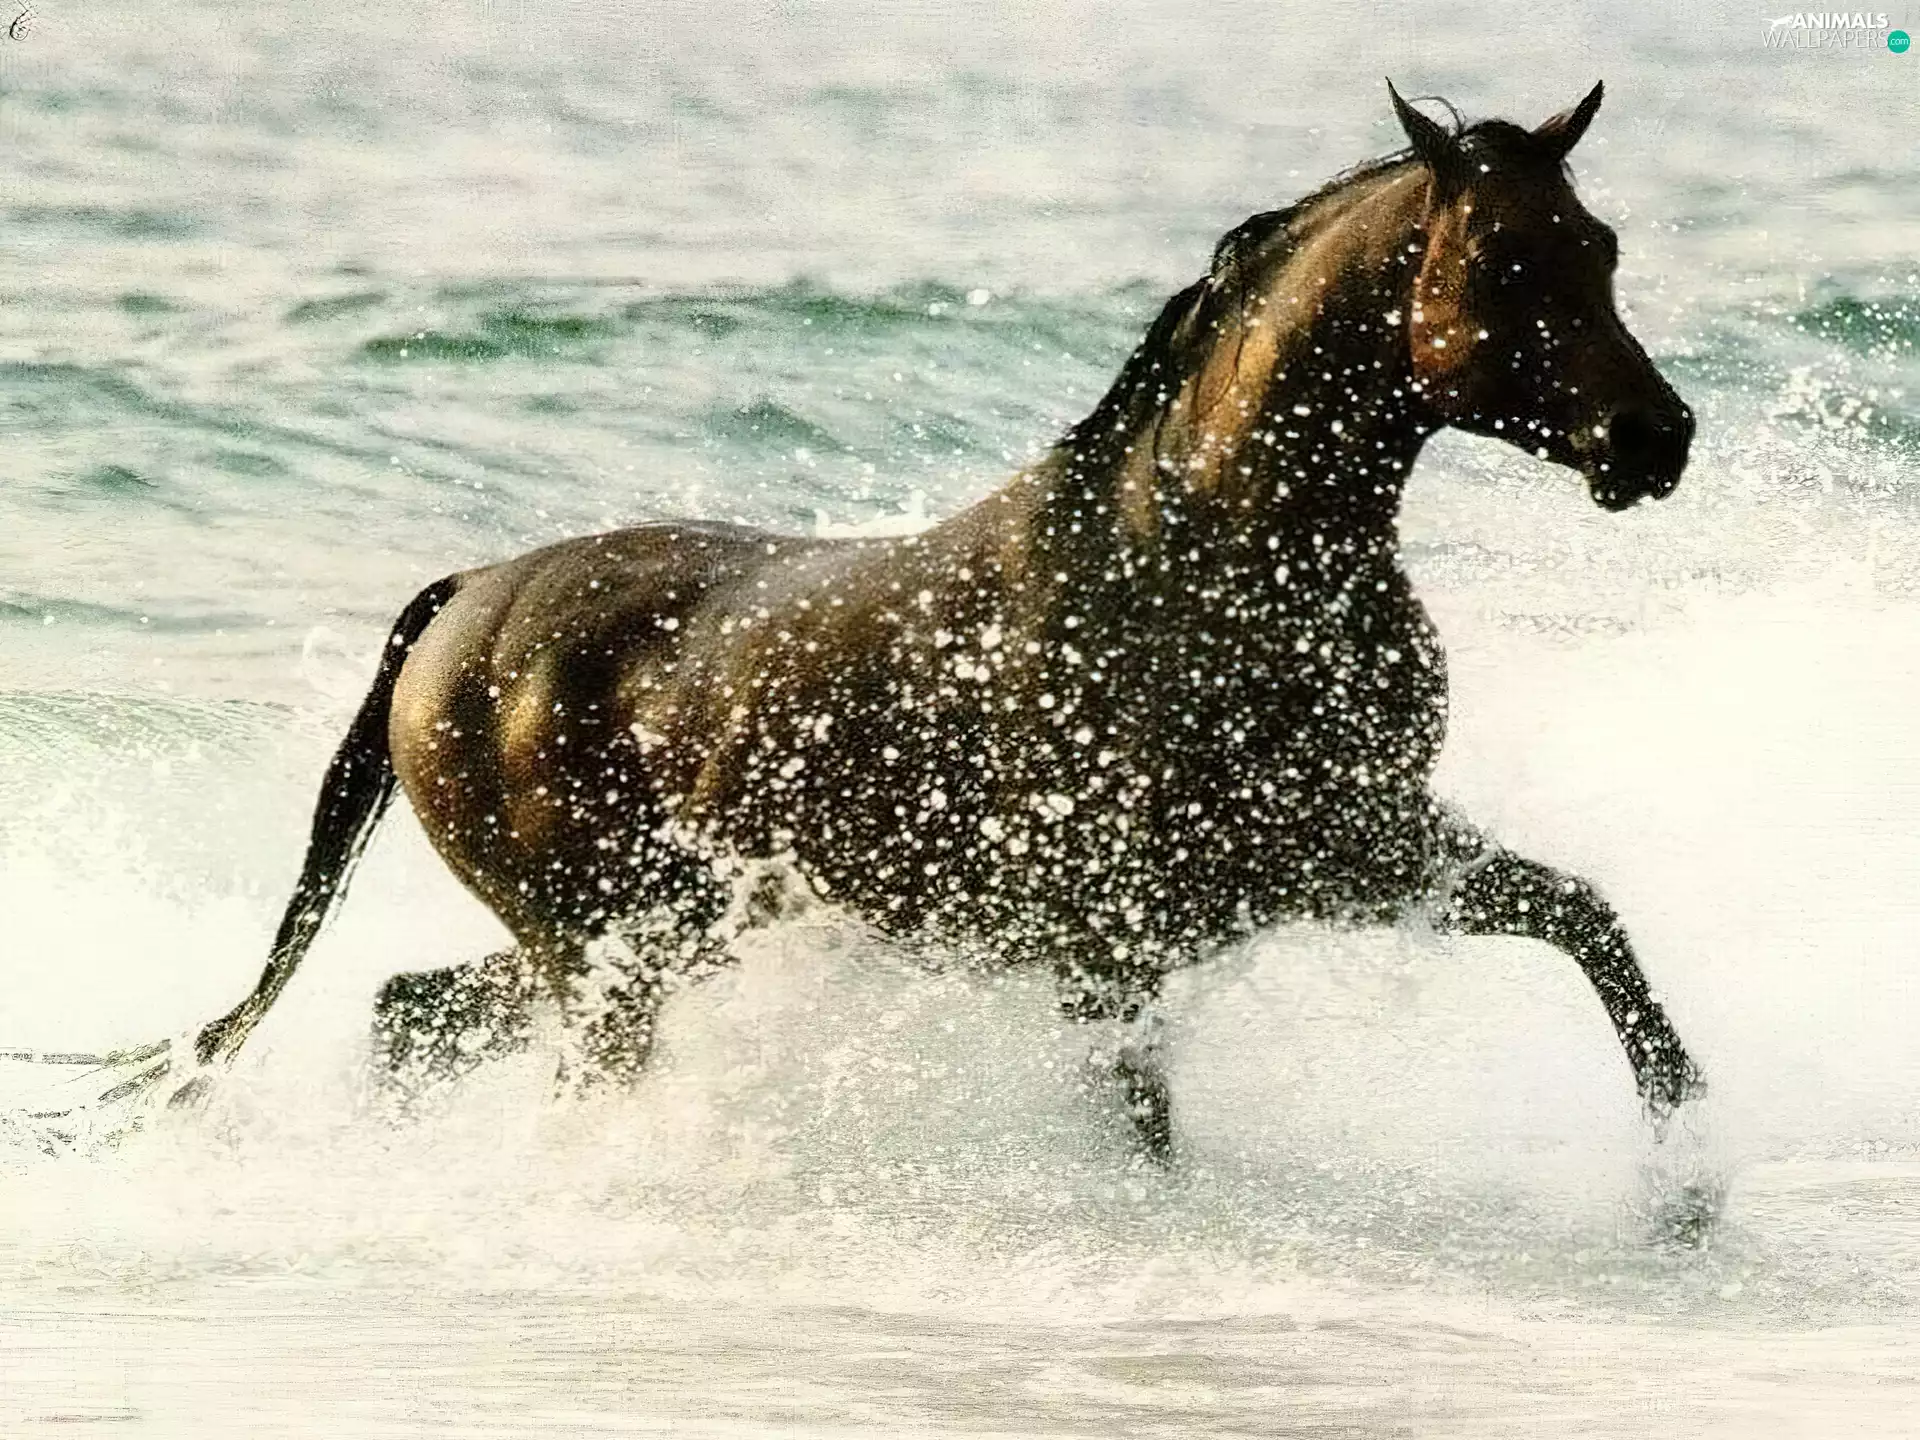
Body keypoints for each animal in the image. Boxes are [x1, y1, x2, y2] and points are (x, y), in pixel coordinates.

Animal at [153, 81, 1702, 1156]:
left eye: (1602, 244)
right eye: (1502, 262)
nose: (1657, 438)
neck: (1203, 569)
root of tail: (461, 602)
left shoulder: (1357, 853)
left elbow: (1590, 924)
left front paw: (1687, 1171)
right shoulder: (1118, 947)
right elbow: (1144, 1128)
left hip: (648, 939)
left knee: (409, 1015)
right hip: (603, 955)